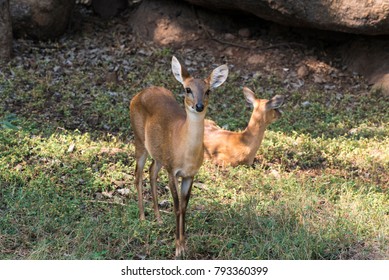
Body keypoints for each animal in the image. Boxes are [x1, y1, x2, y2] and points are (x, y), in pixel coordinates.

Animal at [130, 55, 227, 258]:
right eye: (187, 89)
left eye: (208, 91)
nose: (199, 106)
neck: (185, 152)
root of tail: (139, 94)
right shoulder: (173, 170)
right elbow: (176, 207)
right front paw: (177, 249)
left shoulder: (189, 174)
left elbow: (184, 207)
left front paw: (184, 245)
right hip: (139, 140)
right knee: (137, 175)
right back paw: (142, 219)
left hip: (159, 154)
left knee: (151, 171)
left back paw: (158, 219)